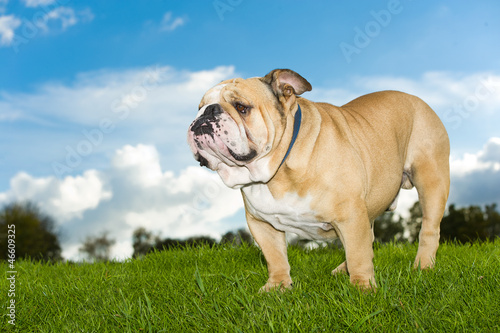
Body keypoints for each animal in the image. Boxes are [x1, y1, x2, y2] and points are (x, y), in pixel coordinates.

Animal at [187, 68, 450, 290]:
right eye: (199, 107)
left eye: (241, 107)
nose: (207, 111)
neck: (276, 169)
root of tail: (416, 99)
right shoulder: (260, 223)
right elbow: (275, 257)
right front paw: (277, 286)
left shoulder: (350, 214)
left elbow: (358, 255)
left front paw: (363, 288)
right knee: (369, 237)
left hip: (431, 179)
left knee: (428, 229)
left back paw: (423, 266)